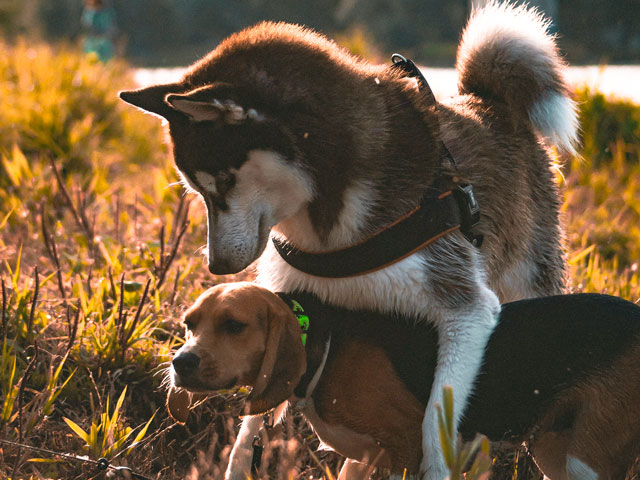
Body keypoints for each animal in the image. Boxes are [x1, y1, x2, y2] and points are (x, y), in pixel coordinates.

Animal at [119, 1, 576, 478]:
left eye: (224, 183)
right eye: (196, 190)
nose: (218, 266)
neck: (330, 234)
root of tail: (485, 99)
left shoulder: (464, 311)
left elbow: (436, 428)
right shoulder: (289, 303)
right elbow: (251, 427)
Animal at [169, 284, 640, 478]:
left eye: (233, 326)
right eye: (189, 324)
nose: (180, 362)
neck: (324, 342)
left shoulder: (408, 448)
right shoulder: (362, 459)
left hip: (586, 460)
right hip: (554, 452)